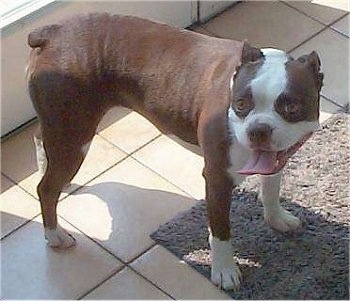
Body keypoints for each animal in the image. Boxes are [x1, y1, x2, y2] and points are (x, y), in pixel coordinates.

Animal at [26, 14, 324, 290]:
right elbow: (221, 231)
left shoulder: (275, 159)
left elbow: (271, 189)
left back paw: (48, 171)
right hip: (74, 137)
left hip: (60, 129)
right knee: (46, 189)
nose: (259, 129)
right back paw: (55, 236)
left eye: (292, 108)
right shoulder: (217, 179)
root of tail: (52, 32)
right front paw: (224, 271)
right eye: (240, 104)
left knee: (41, 140)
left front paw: (277, 219)